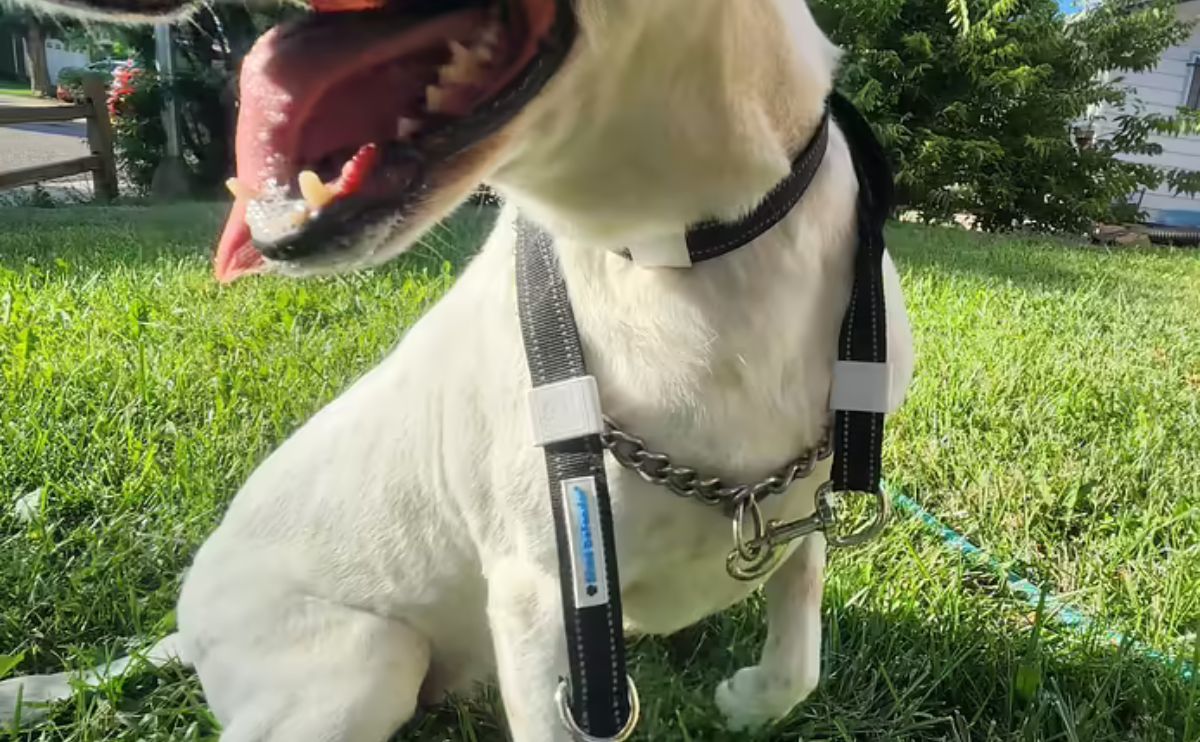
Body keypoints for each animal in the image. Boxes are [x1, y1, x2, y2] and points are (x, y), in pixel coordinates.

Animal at [7, 1, 916, 739]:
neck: (683, 253)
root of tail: (188, 622)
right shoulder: (540, 596)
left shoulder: (806, 503)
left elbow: (799, 650)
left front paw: (749, 698)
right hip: (363, 665)